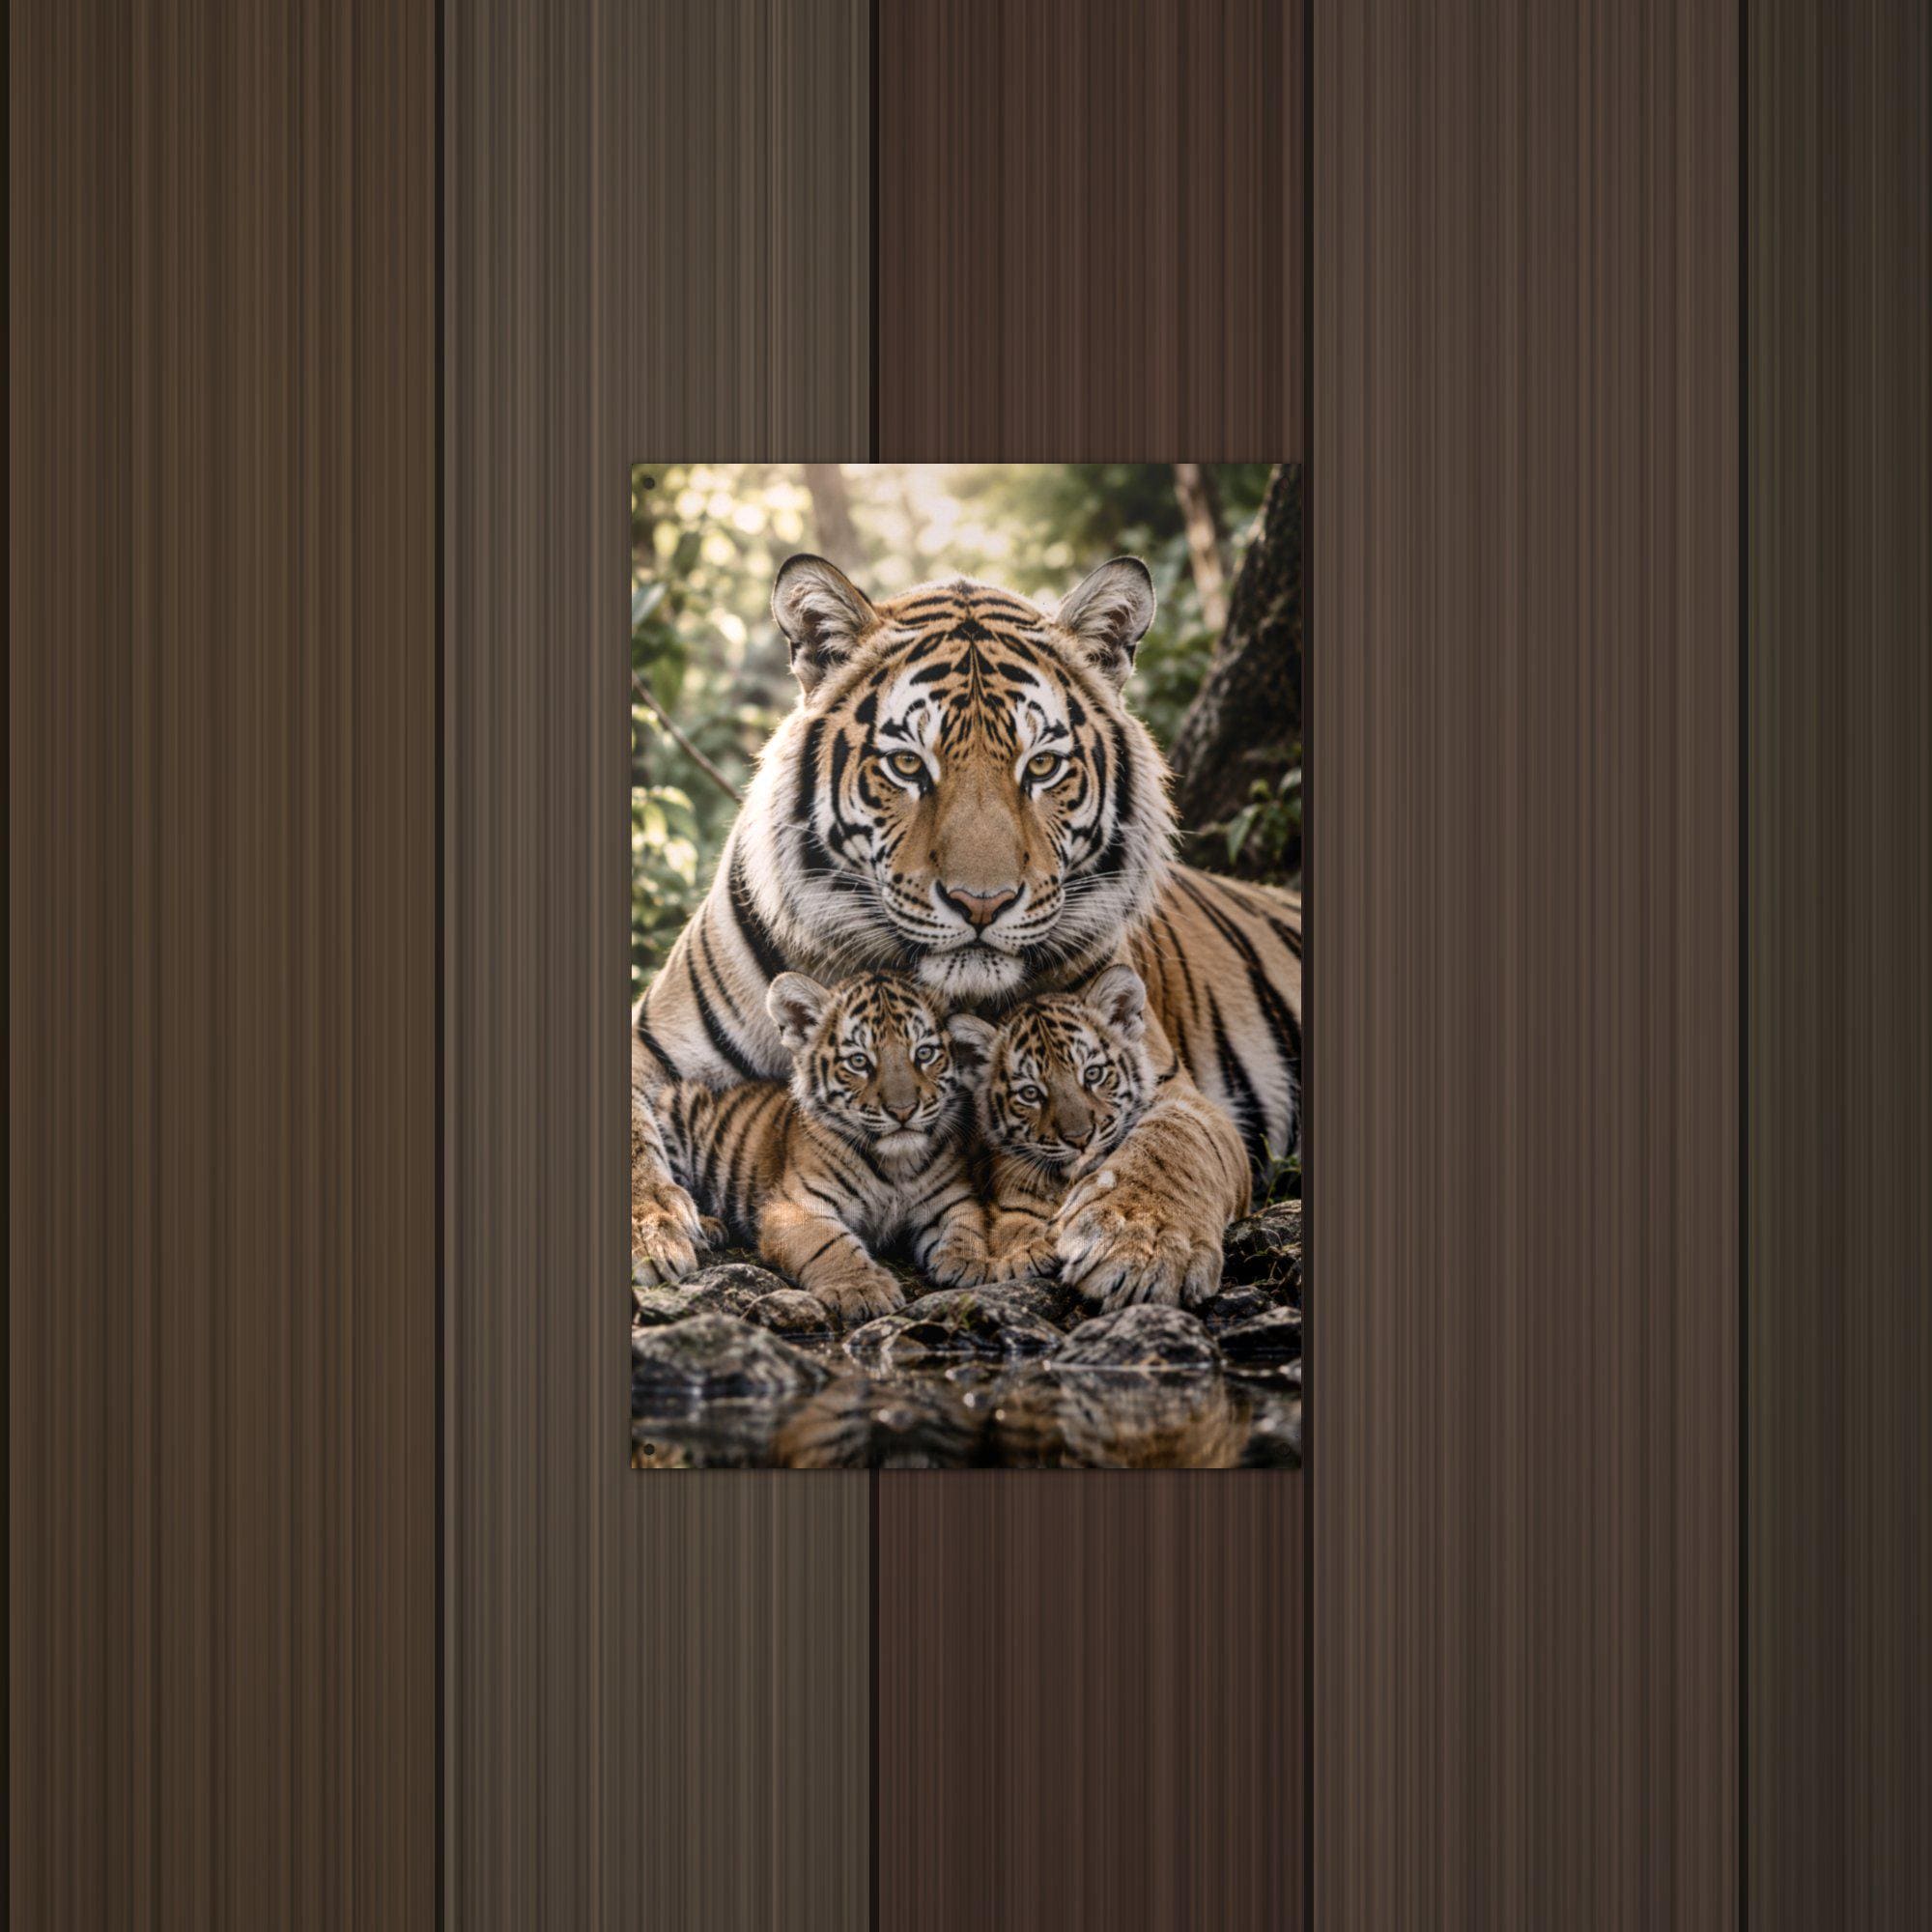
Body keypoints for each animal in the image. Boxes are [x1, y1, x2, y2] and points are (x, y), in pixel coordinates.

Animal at [652, 969, 991, 1321]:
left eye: (924, 1054)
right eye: (859, 1061)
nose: (903, 1110)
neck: (895, 1163)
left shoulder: (950, 1195)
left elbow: (967, 1223)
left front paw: (968, 1262)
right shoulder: (795, 1207)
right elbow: (830, 1243)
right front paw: (862, 1288)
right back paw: (704, 1227)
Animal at [947, 963, 1158, 1286]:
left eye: (1093, 1074)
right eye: (1030, 1093)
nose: (1080, 1138)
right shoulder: (1008, 1197)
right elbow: (1013, 1224)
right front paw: (1026, 1254)